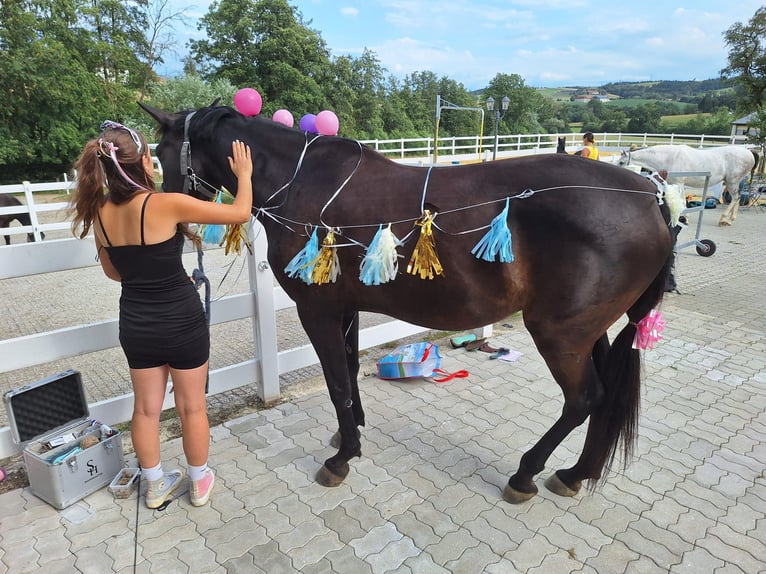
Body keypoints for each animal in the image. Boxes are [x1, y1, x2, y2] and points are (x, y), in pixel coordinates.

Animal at [142, 103, 674, 504]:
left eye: (162, 153)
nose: (169, 223)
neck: (302, 181)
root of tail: (650, 196)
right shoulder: (346, 308)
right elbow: (349, 372)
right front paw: (350, 435)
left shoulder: (317, 310)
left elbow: (337, 382)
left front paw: (340, 459)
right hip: (590, 331)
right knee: (603, 399)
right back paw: (574, 473)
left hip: (560, 334)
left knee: (583, 399)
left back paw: (526, 474)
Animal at [619, 144, 758, 226]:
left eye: (621, 162)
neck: (668, 157)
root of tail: (749, 152)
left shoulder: (679, 184)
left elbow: (683, 202)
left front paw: (685, 218)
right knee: (737, 199)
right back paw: (730, 219)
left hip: (731, 182)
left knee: (735, 198)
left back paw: (724, 219)